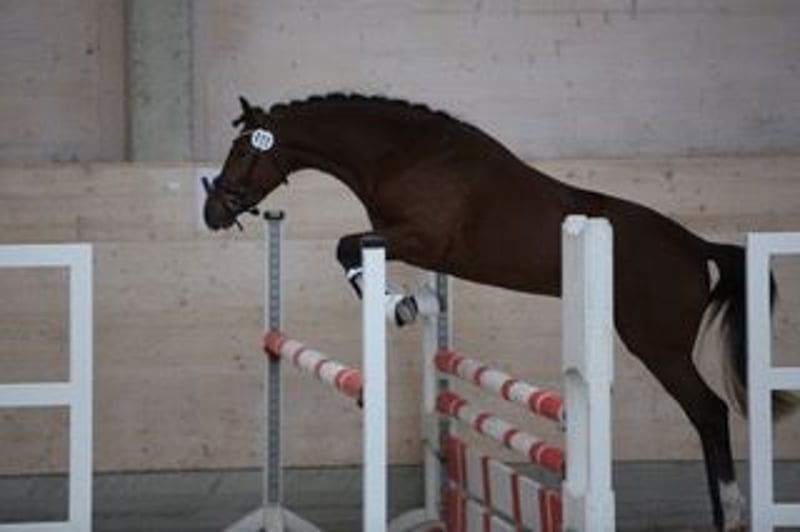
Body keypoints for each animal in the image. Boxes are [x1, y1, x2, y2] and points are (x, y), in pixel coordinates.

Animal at [202, 94, 798, 531]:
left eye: (241, 152)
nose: (212, 212)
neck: (407, 155)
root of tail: (697, 246)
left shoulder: (416, 237)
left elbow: (347, 248)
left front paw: (398, 306)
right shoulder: (413, 247)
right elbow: (354, 254)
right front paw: (408, 303)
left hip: (657, 345)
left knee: (710, 411)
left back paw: (732, 515)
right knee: (705, 414)